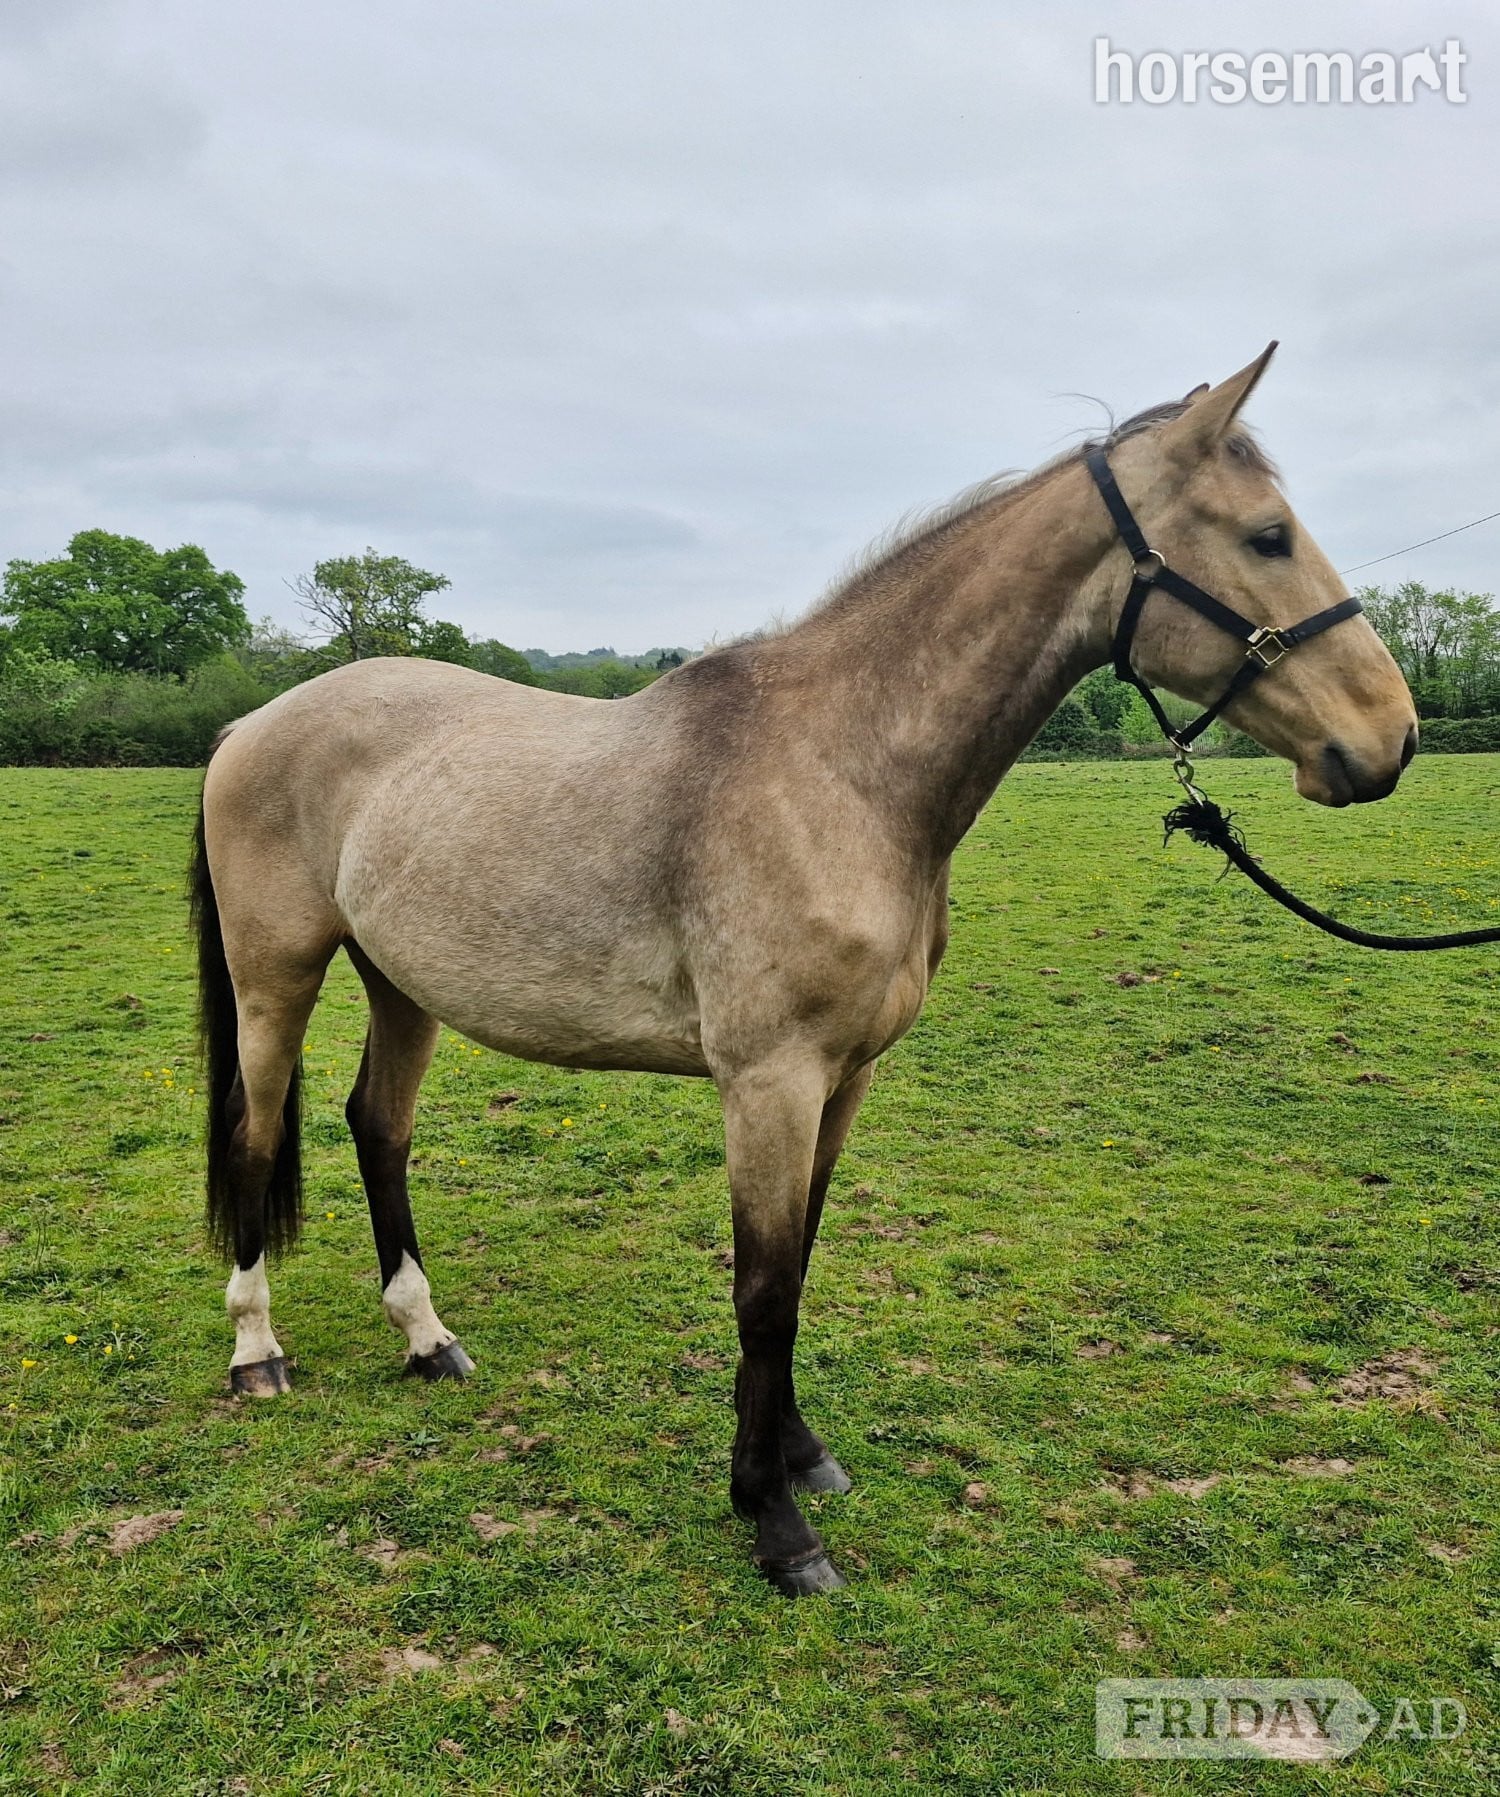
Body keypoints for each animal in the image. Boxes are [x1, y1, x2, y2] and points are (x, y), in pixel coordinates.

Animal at [189, 345, 1417, 1595]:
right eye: (1268, 536)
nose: (1391, 735)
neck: (844, 771)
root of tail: (250, 727)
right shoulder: (768, 1082)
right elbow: (764, 1292)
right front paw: (775, 1526)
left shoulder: (844, 1078)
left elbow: (803, 1267)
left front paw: (798, 1458)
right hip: (276, 977)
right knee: (255, 1131)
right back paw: (257, 1352)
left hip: (402, 984)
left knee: (377, 1126)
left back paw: (426, 1337)